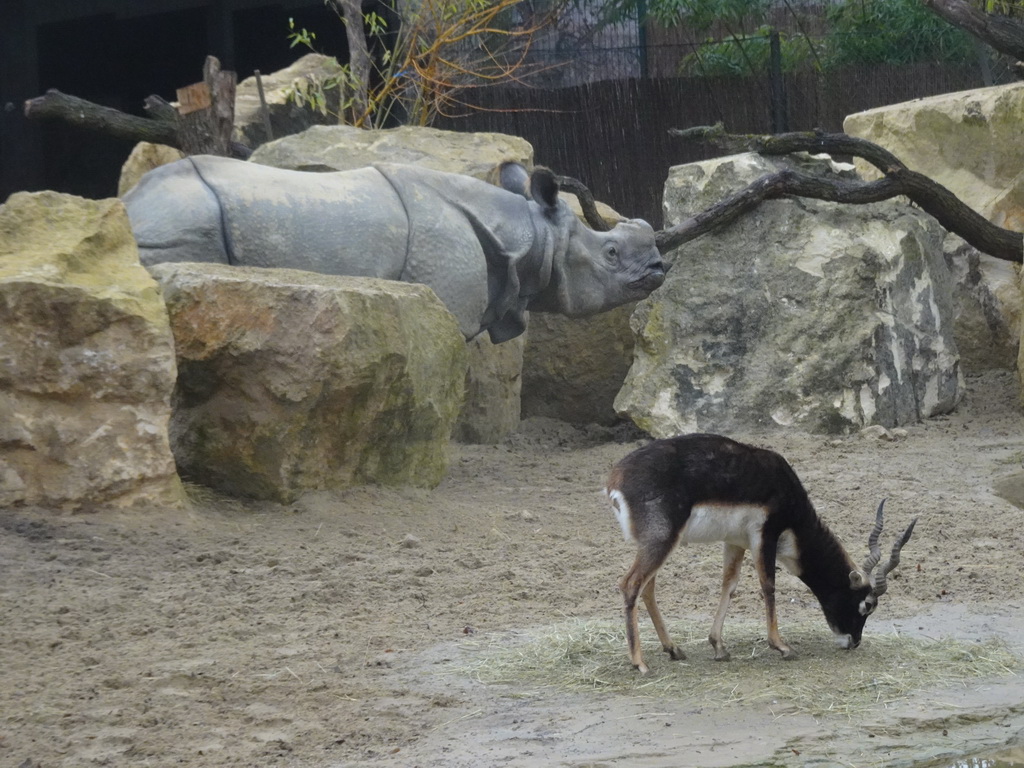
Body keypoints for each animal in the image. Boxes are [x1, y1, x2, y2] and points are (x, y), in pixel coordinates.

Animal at [602, 434, 917, 671]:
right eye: (866, 605)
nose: (853, 642)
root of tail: (616, 481)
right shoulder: (765, 535)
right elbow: (768, 586)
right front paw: (782, 647)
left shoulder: (735, 541)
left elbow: (729, 585)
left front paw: (719, 647)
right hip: (662, 541)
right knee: (630, 584)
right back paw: (640, 663)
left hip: (657, 543)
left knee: (647, 587)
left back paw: (673, 650)